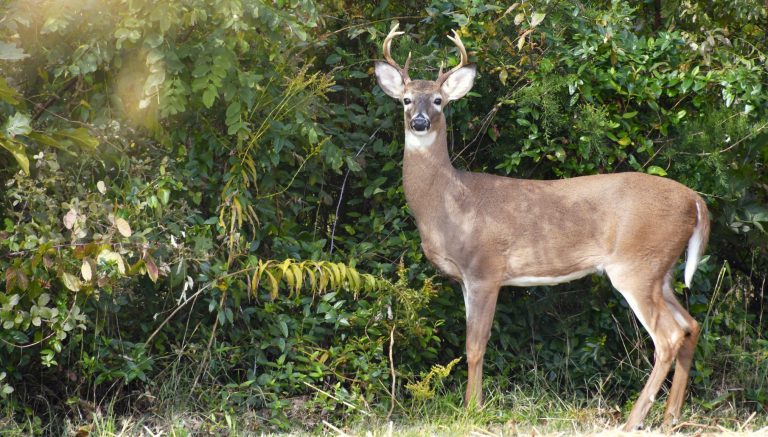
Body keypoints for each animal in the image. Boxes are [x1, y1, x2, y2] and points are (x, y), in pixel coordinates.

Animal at [376, 24, 712, 430]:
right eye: (406, 100)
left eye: (439, 100)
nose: (420, 122)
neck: (449, 201)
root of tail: (695, 200)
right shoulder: (466, 279)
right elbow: (471, 343)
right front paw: (472, 406)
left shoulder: (485, 270)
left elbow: (475, 345)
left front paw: (473, 410)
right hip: (660, 269)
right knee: (691, 325)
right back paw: (670, 418)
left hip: (636, 265)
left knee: (669, 336)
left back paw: (634, 420)